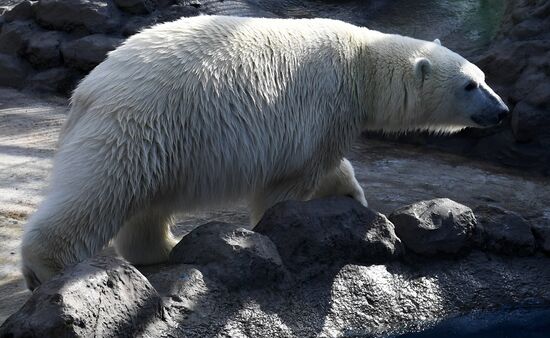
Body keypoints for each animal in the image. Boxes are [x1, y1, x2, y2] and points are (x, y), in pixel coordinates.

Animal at [21, 15, 508, 290]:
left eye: (484, 77)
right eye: (470, 84)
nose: (503, 111)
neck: (361, 62)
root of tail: (88, 88)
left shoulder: (331, 117)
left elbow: (331, 166)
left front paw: (352, 198)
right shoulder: (323, 104)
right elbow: (291, 181)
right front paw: (277, 230)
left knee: (145, 203)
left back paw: (164, 247)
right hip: (140, 123)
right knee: (101, 188)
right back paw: (48, 268)